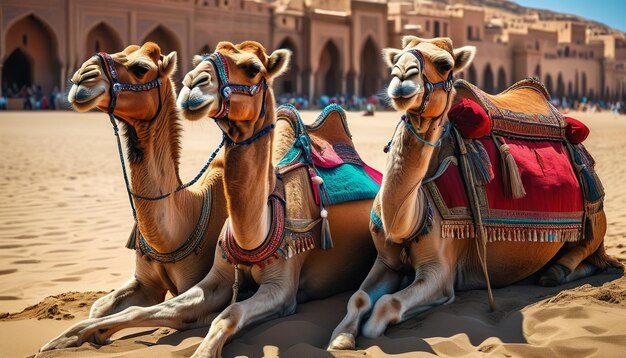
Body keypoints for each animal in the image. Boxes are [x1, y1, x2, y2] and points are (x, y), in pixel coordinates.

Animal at [39, 42, 229, 352]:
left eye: (141, 68)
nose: (82, 77)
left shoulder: (194, 286)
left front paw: (62, 341)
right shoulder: (146, 283)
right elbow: (100, 306)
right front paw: (86, 335)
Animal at [172, 40, 376, 356]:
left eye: (252, 68)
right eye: (199, 60)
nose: (193, 82)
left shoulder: (281, 289)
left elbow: (230, 313)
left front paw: (205, 350)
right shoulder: (218, 278)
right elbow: (153, 308)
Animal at [324, 36, 616, 350]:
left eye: (445, 64)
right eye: (396, 59)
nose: (402, 76)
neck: (409, 216)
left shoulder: (441, 273)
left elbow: (386, 307)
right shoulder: (386, 260)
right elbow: (359, 298)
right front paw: (341, 339)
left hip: (595, 219)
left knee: (591, 256)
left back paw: (555, 271)